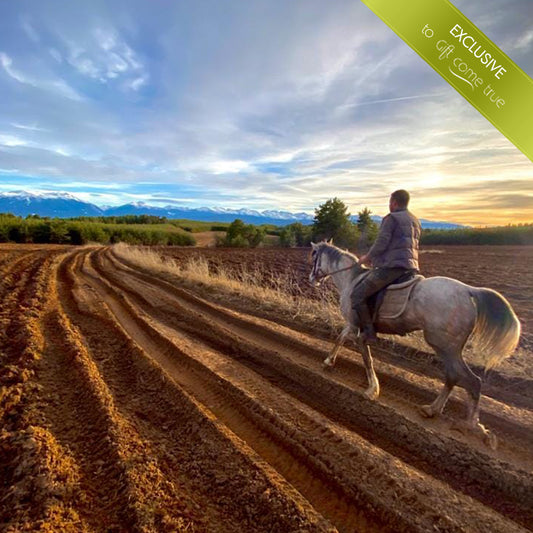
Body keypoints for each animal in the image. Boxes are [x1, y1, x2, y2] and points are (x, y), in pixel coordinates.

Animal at [308, 241, 520, 444]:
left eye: (314, 257)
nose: (311, 279)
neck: (351, 279)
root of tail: (469, 291)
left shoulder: (356, 326)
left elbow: (365, 356)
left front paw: (372, 389)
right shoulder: (352, 326)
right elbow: (341, 338)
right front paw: (328, 362)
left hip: (444, 346)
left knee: (471, 380)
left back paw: (472, 426)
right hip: (448, 348)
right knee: (454, 376)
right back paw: (433, 410)